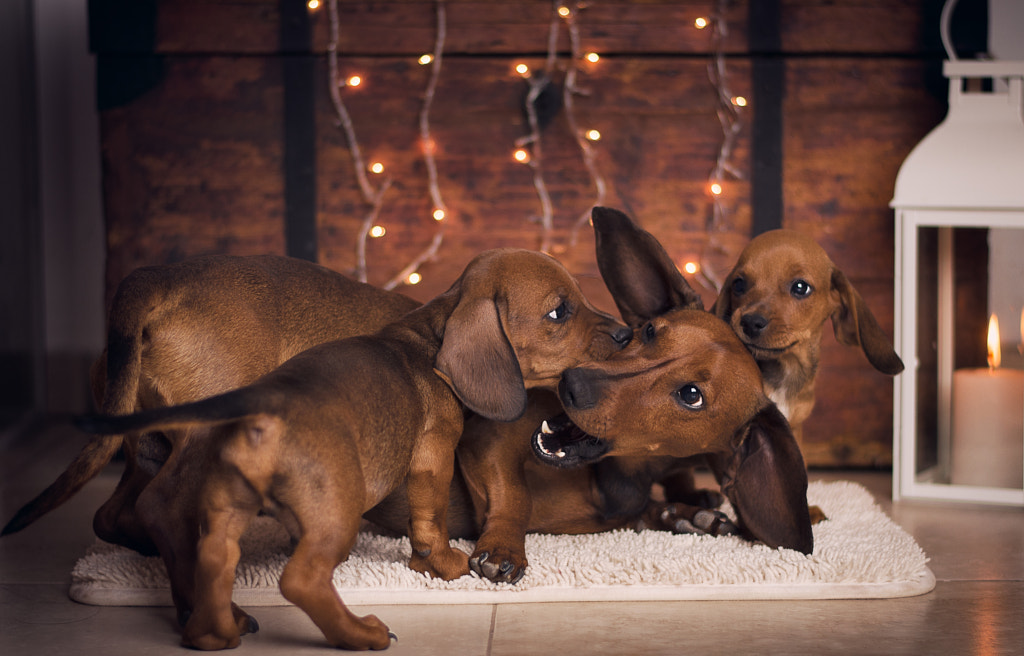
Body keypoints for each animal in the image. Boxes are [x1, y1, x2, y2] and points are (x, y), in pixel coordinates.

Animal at [72, 249, 626, 650]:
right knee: (165, 511)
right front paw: (474, 560)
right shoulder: (456, 449)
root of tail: (162, 278)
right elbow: (482, 504)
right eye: (558, 310)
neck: (425, 336)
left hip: (153, 451)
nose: (626, 333)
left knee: (116, 517)